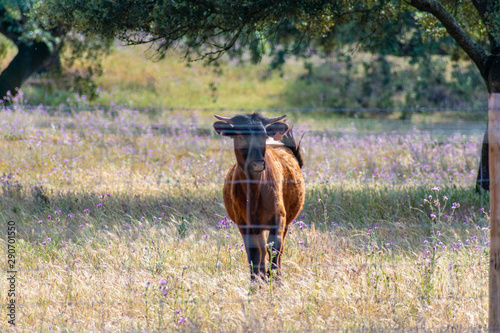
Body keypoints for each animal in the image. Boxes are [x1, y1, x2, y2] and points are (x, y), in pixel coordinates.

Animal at [212, 113, 304, 278]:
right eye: (240, 135)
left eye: (264, 135)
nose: (258, 164)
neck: (254, 192)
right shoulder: (244, 222)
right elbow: (255, 252)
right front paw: (255, 280)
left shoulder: (279, 217)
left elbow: (275, 249)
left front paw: (275, 278)